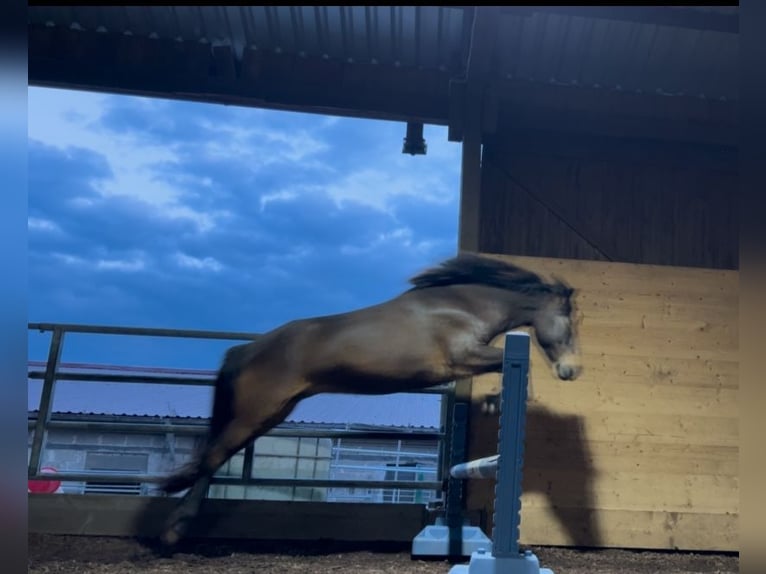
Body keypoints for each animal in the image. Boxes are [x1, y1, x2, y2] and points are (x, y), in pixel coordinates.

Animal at [158, 253, 582, 545]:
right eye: (568, 322)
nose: (572, 371)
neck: (462, 306)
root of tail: (245, 350)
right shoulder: (463, 357)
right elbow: (516, 367)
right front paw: (502, 401)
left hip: (270, 414)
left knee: (215, 456)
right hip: (255, 412)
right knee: (213, 456)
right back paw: (172, 528)